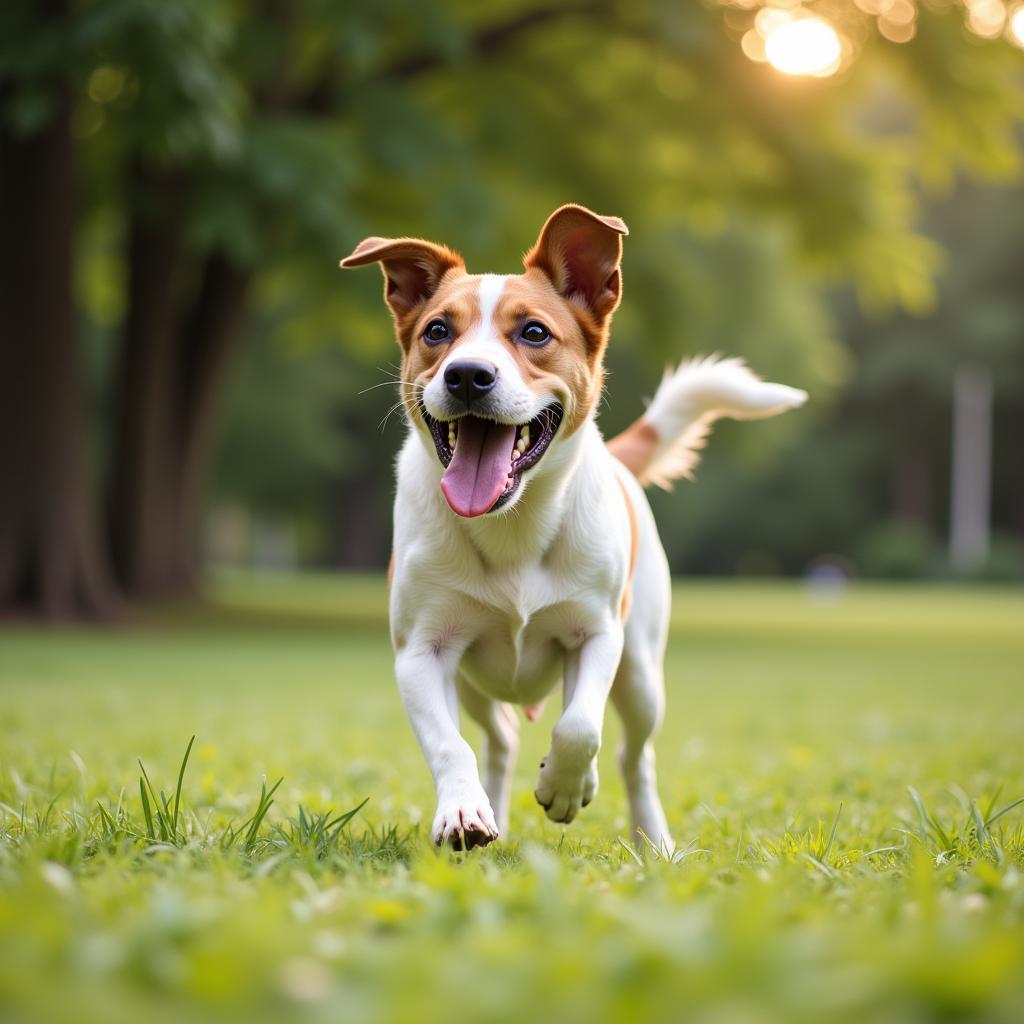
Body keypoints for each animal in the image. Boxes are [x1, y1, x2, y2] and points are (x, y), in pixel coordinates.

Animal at [344, 203, 806, 851]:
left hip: (641, 672)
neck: (511, 524)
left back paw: (653, 841)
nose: (466, 375)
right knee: (500, 738)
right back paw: (493, 809)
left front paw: (565, 786)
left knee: (634, 756)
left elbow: (580, 726)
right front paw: (463, 811)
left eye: (534, 332)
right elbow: (450, 745)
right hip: (473, 682)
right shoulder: (422, 652)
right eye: (437, 331)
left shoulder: (596, 635)